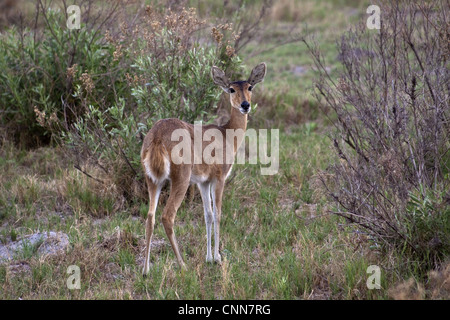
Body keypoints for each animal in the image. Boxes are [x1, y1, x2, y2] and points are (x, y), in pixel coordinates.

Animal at [142, 63, 266, 276]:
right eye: (231, 89)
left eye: (250, 87)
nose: (245, 105)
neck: (227, 135)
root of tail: (157, 136)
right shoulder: (219, 177)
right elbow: (217, 213)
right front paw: (217, 257)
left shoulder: (203, 181)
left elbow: (207, 214)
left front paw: (208, 257)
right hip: (180, 178)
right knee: (167, 216)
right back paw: (182, 264)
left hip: (153, 180)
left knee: (150, 217)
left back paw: (145, 269)